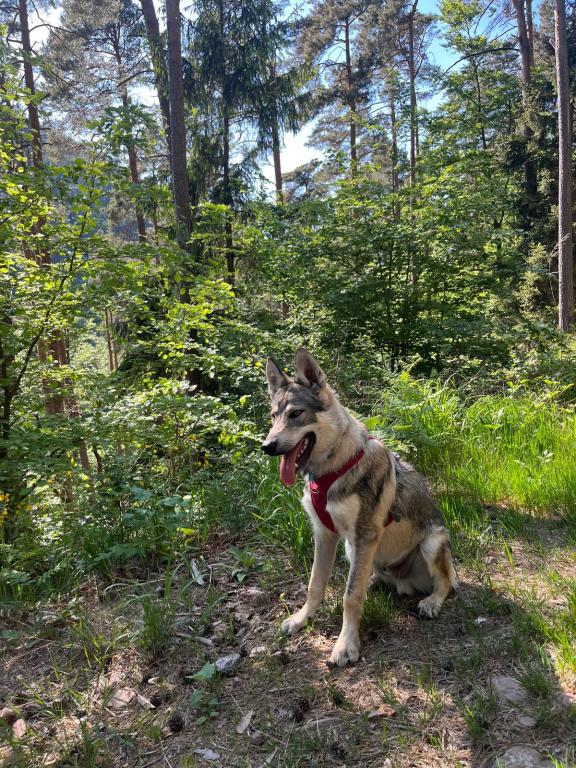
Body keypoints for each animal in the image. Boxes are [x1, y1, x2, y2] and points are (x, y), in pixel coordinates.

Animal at [262, 349, 458, 667]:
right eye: (274, 416)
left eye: (296, 414)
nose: (267, 446)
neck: (331, 469)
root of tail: (404, 582)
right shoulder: (325, 534)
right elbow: (316, 584)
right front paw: (302, 619)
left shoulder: (365, 533)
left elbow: (350, 597)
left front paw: (345, 646)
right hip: (352, 548)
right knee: (370, 575)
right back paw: (376, 581)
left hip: (431, 543)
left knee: (445, 584)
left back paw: (430, 603)